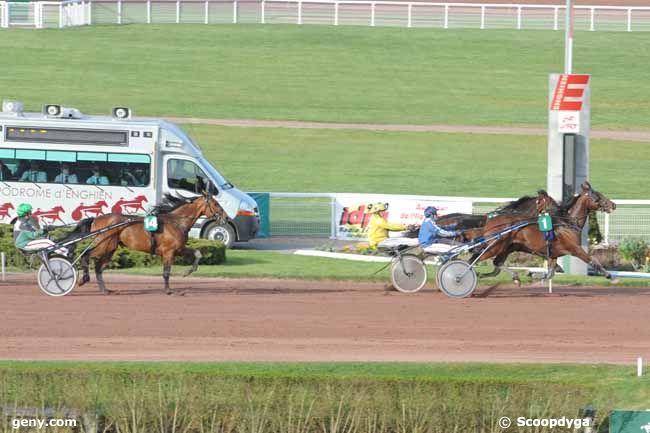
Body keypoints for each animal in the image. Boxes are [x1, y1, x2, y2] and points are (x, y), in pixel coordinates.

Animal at [69, 192, 227, 294]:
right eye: (216, 204)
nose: (226, 217)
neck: (175, 222)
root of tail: (96, 219)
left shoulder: (179, 249)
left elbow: (198, 253)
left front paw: (187, 272)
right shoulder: (168, 251)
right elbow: (166, 272)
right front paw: (169, 290)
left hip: (111, 248)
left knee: (98, 267)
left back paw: (104, 289)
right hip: (104, 244)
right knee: (86, 255)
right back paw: (84, 279)